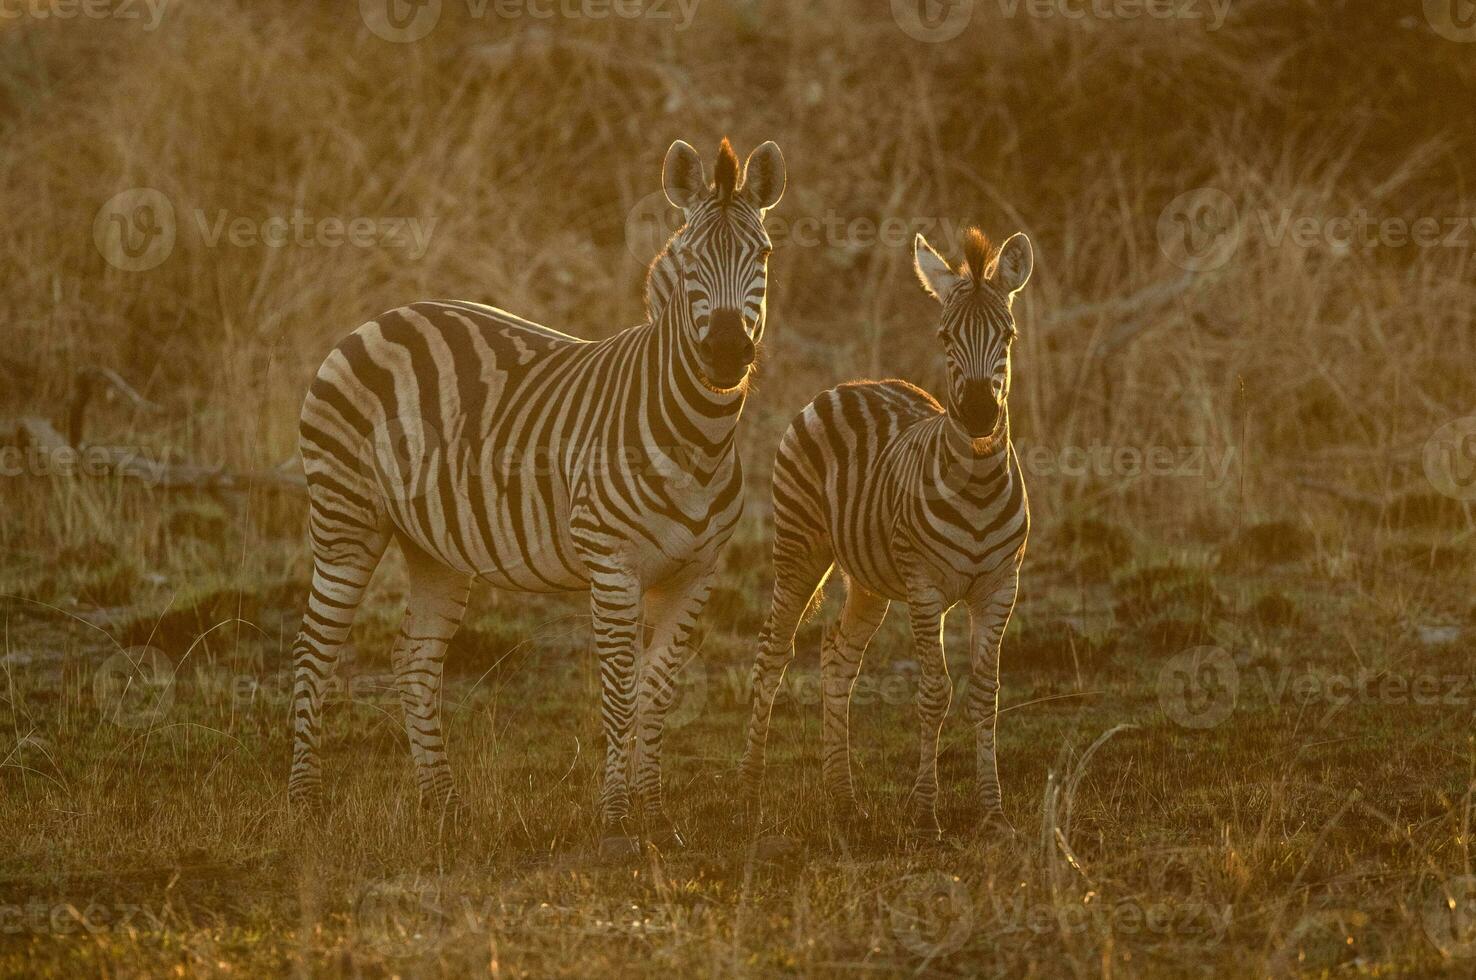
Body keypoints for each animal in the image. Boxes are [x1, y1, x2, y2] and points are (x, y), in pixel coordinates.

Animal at [292, 135, 791, 844]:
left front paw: (655, 811)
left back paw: (444, 804)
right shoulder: (612, 566)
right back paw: (304, 802)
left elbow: (657, 692)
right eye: (693, 258)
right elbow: (620, 691)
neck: (698, 438)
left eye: (764, 255)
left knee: (414, 661)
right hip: (346, 519)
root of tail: (377, 319)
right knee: (314, 650)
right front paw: (616, 818)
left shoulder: (697, 573)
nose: (725, 352)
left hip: (436, 547)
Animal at [738, 227, 1039, 832]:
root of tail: (852, 384)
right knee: (772, 654)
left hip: (869, 579)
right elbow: (933, 693)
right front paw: (925, 813)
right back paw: (752, 794)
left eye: (1008, 334)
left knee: (837, 657)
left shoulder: (1001, 588)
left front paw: (993, 812)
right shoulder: (925, 589)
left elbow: (986, 695)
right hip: (799, 550)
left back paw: (842, 796)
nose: (977, 416)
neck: (976, 483)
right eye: (945, 335)